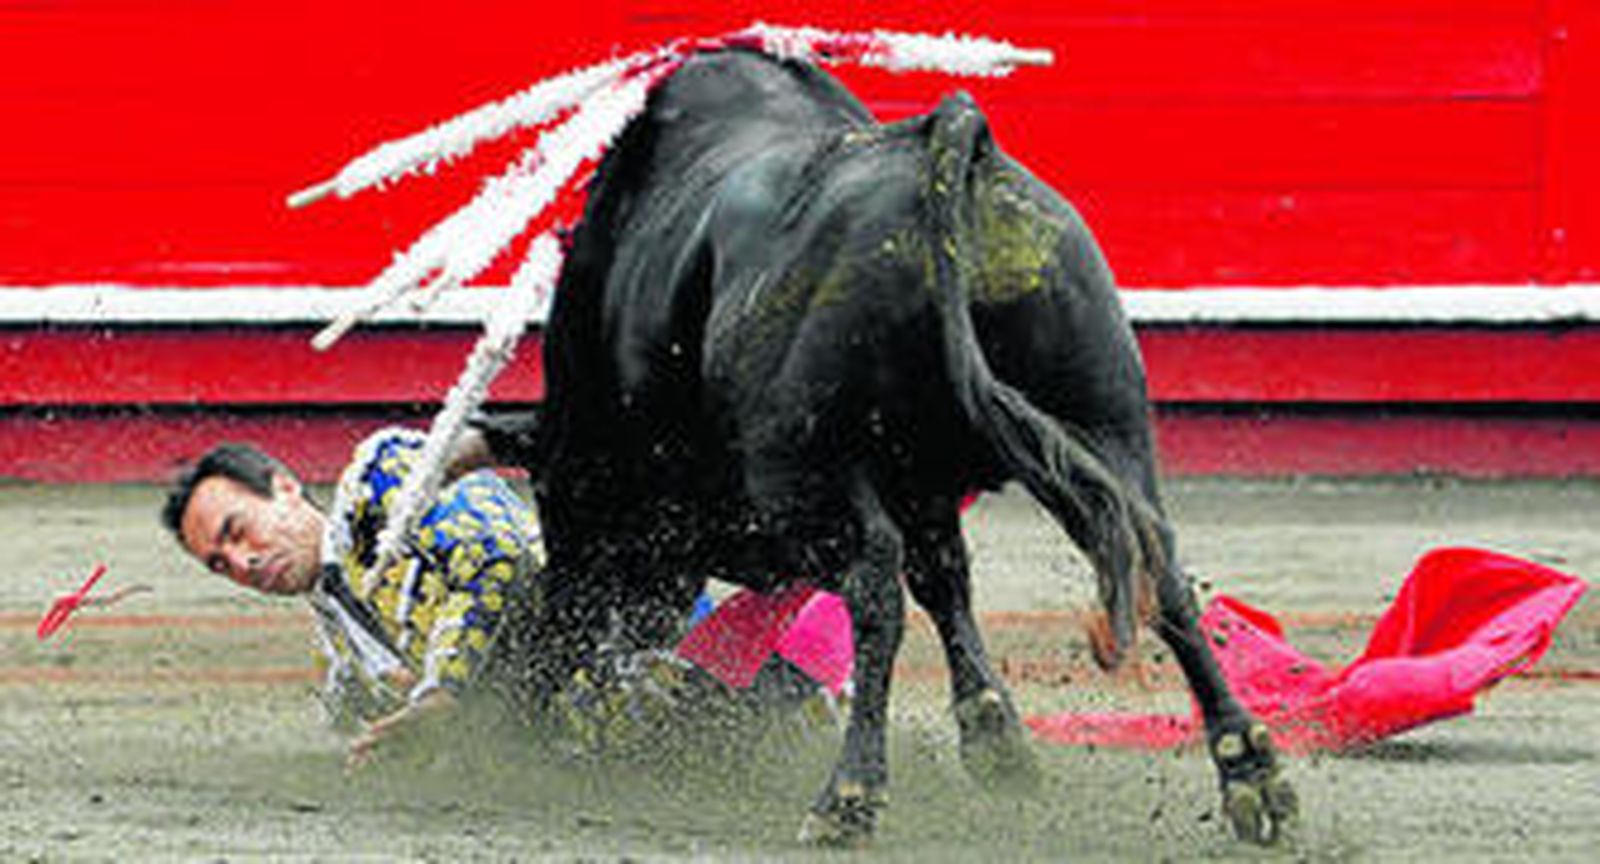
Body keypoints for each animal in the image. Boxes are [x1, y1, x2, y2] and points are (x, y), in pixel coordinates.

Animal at [487, 48, 1296, 846]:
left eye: (557, 504)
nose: (533, 684)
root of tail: (955, 142)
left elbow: (912, 583)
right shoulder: (925, 484)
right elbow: (945, 579)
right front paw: (997, 738)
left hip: (806, 471)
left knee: (874, 584)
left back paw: (848, 794)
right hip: (1108, 418)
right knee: (1160, 566)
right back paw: (1251, 775)